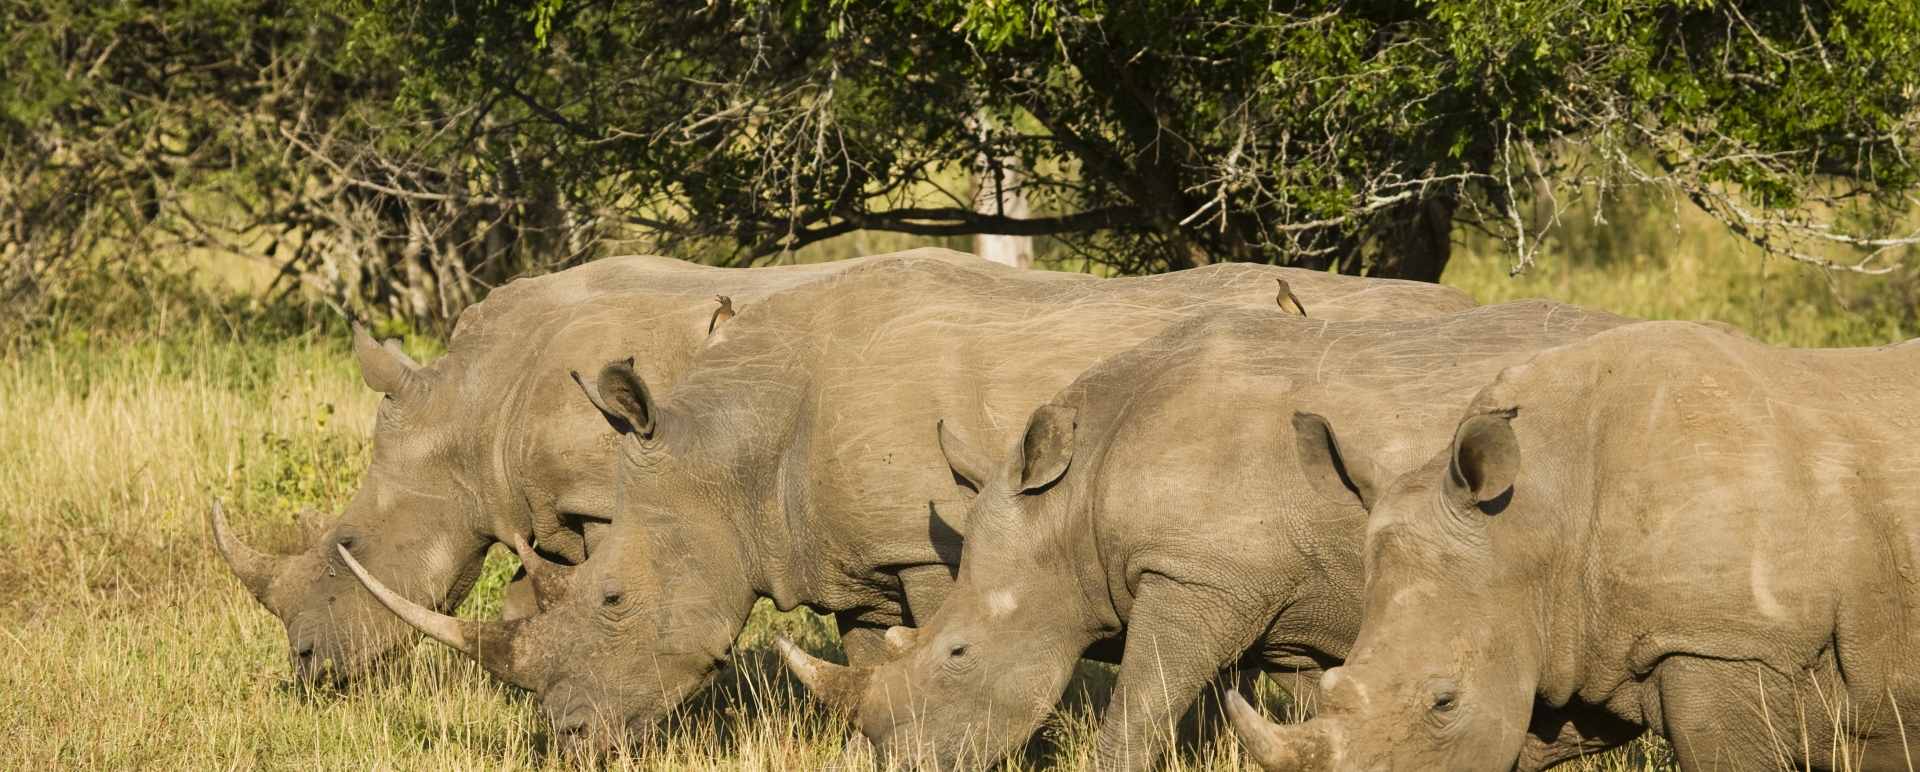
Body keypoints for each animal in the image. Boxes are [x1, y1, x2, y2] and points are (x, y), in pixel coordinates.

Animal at [208, 249, 1012, 686]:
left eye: (348, 547)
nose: (306, 665)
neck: (473, 412)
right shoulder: (553, 510)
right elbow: (532, 607)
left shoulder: (597, 496)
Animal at [340, 256, 1477, 745]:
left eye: (613, 602)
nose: (570, 740)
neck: (733, 447)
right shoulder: (855, 558)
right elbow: (869, 663)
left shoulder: (931, 548)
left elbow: (945, 649)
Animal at [777, 300, 1634, 770]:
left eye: (956, 655)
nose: (893, 759)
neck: (1073, 505)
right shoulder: (1294, 605)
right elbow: (1317, 716)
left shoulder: (1194, 578)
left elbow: (1139, 709)